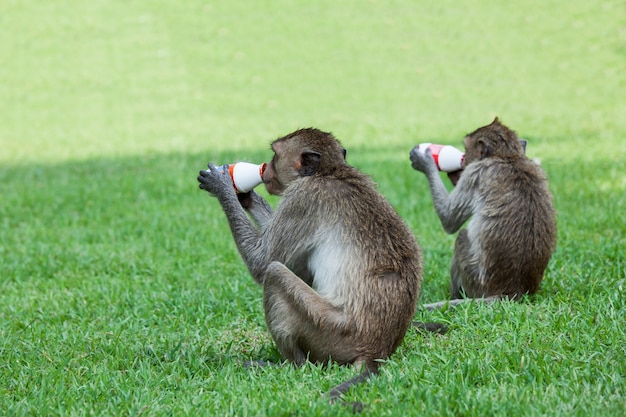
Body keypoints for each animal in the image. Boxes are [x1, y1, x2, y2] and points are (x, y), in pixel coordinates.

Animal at [199, 127, 424, 406]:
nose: (265, 169)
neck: (328, 172)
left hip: (332, 333)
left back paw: (291, 366)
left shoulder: (303, 198)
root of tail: (376, 350)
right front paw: (246, 196)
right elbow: (300, 270)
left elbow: (262, 263)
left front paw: (223, 187)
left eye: (275, 155)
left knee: (274, 274)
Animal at [410, 117, 556, 308]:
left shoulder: (475, 173)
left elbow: (449, 221)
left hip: (475, 280)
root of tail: (512, 291)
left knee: (461, 237)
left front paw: (425, 162)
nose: (463, 159)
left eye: (466, 149)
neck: (508, 157)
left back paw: (455, 296)